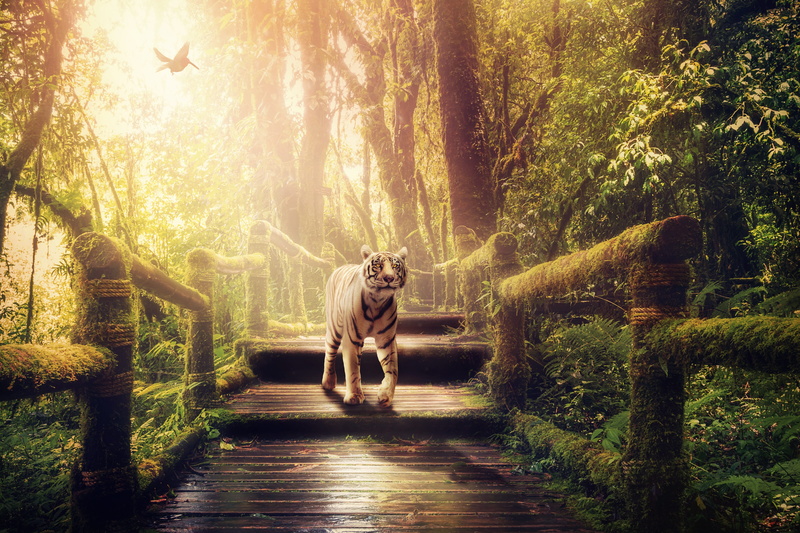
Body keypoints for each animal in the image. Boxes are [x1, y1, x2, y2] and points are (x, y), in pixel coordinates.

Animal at [322, 245, 408, 407]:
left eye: (395, 266)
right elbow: (353, 369)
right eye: (378, 265)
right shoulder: (352, 338)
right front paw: (354, 397)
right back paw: (328, 383)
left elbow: (393, 369)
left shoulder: (386, 340)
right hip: (334, 330)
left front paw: (386, 395)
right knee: (330, 353)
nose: (389, 278)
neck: (377, 301)